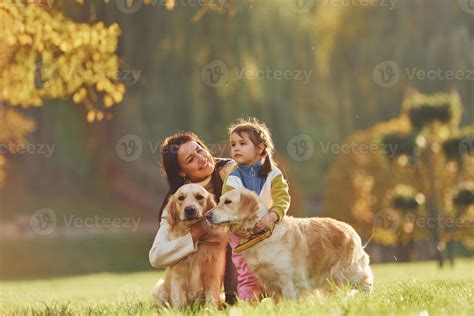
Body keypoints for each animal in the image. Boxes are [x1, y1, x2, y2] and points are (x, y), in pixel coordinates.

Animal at [206, 189, 374, 300]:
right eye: (219, 201)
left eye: (228, 202)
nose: (207, 215)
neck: (263, 235)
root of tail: (350, 228)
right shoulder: (270, 283)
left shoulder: (288, 281)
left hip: (348, 274)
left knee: (367, 284)